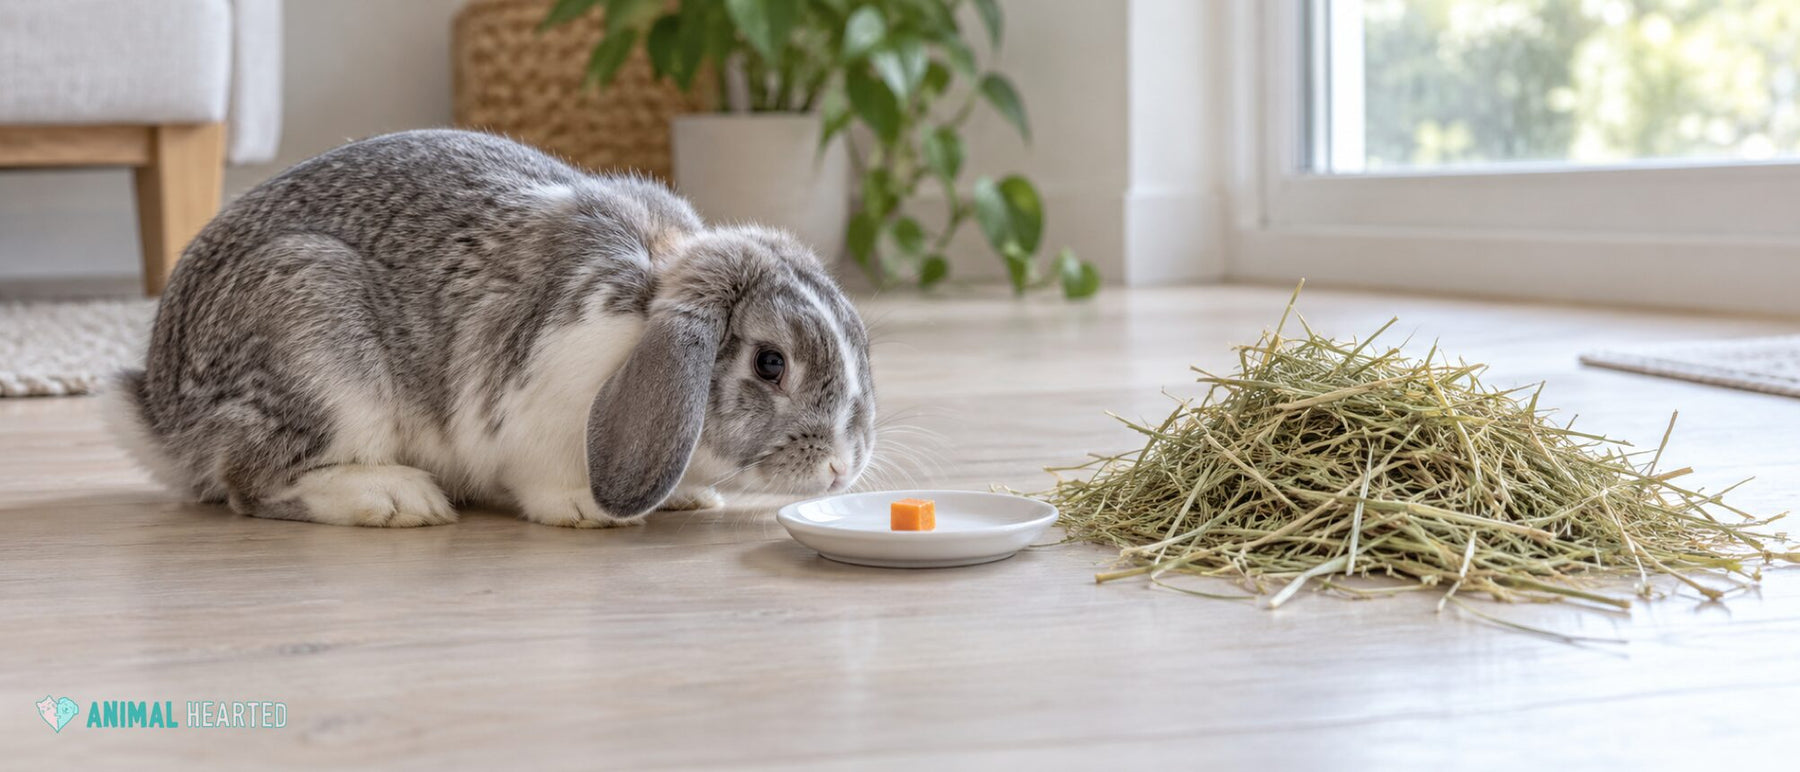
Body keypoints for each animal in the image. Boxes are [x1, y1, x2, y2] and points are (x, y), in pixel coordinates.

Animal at [103, 129, 877, 527]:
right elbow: (547, 480)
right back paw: (395, 499)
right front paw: (587, 509)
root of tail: (164, 416)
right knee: (251, 483)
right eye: (771, 363)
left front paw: (688, 495)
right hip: (319, 357)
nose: (843, 467)